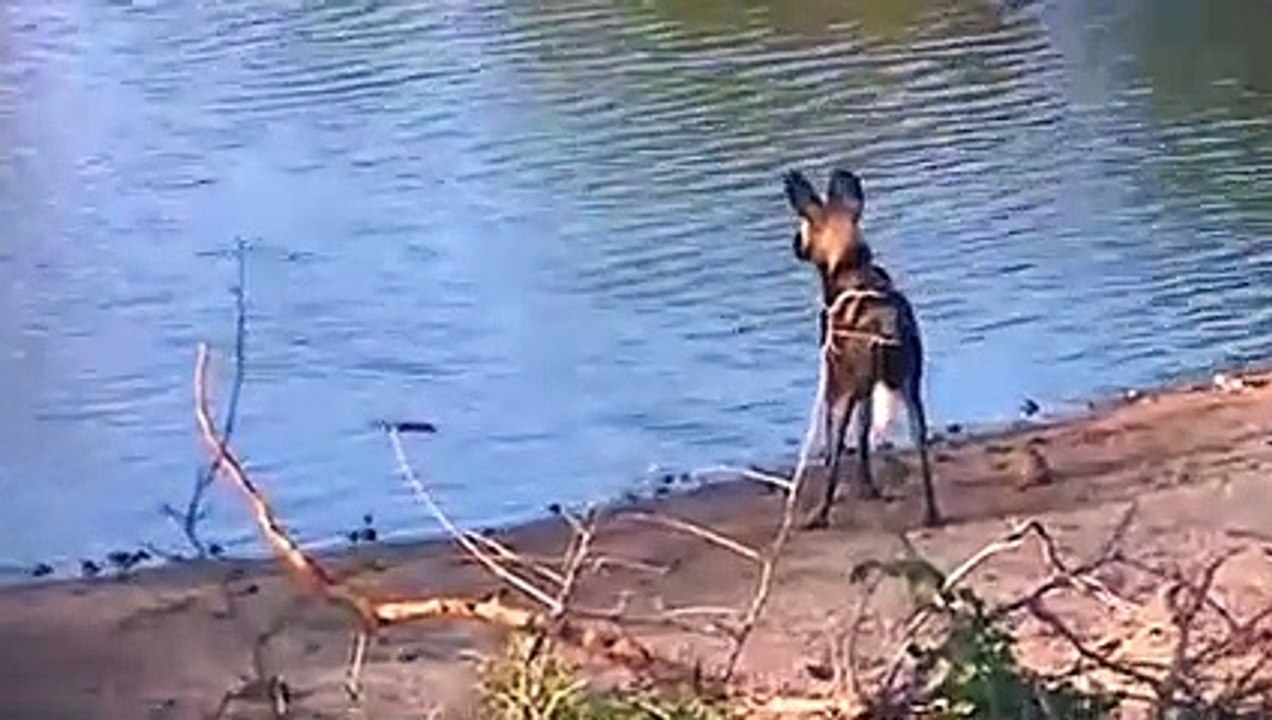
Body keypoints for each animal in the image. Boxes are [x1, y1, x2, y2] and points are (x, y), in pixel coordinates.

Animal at [782, 168, 941, 529]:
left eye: (803, 227)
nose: (795, 245)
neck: (850, 265)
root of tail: (884, 321)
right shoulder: (867, 391)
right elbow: (866, 439)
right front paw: (868, 489)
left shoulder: (836, 384)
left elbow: (836, 450)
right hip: (910, 392)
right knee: (921, 447)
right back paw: (931, 514)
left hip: (844, 394)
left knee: (837, 450)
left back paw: (820, 515)